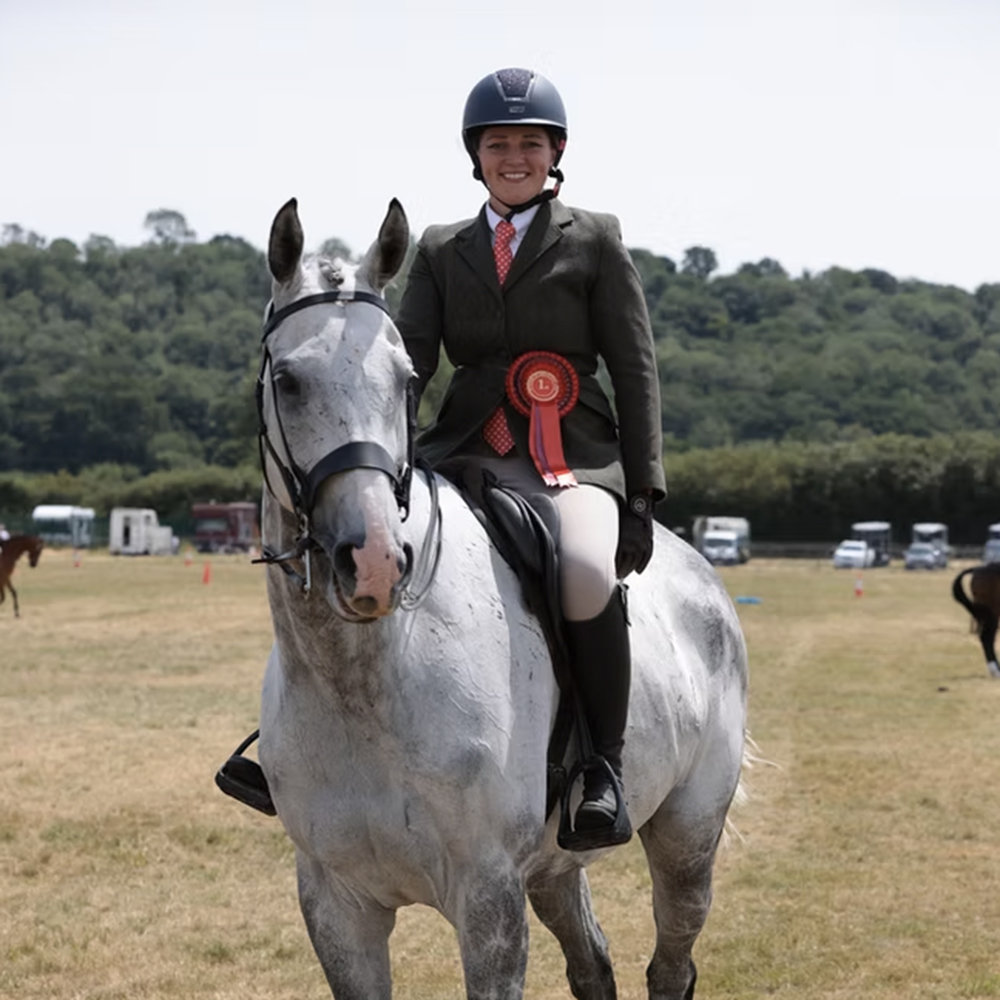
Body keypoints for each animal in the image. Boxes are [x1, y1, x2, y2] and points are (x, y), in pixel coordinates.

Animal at [250, 196, 749, 1000]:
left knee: (671, 962)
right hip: (553, 865)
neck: (364, 680)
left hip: (686, 839)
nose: (374, 563)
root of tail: (699, 572)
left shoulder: (488, 899)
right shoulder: (335, 903)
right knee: (592, 962)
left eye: (405, 381)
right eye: (289, 381)